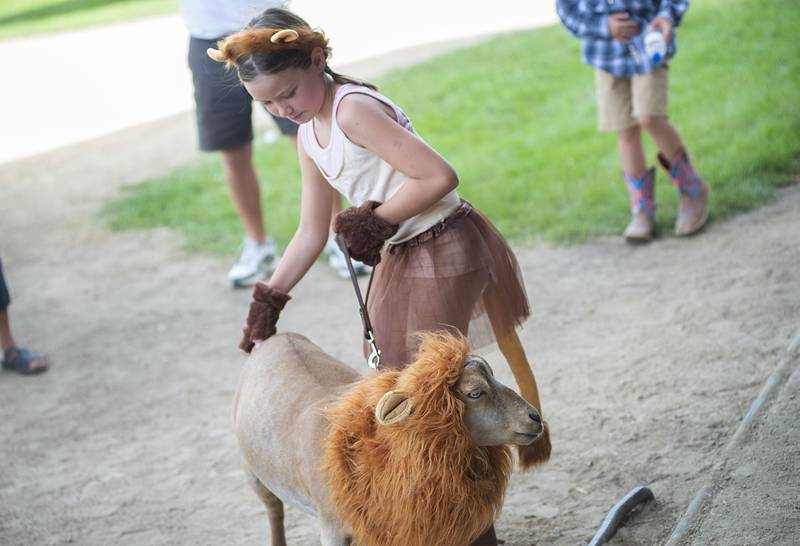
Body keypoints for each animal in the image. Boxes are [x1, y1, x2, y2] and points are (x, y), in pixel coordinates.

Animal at [231, 332, 544, 544]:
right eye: (475, 393)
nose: (535, 418)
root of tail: (276, 337)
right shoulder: (333, 527)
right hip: (253, 473)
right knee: (274, 510)